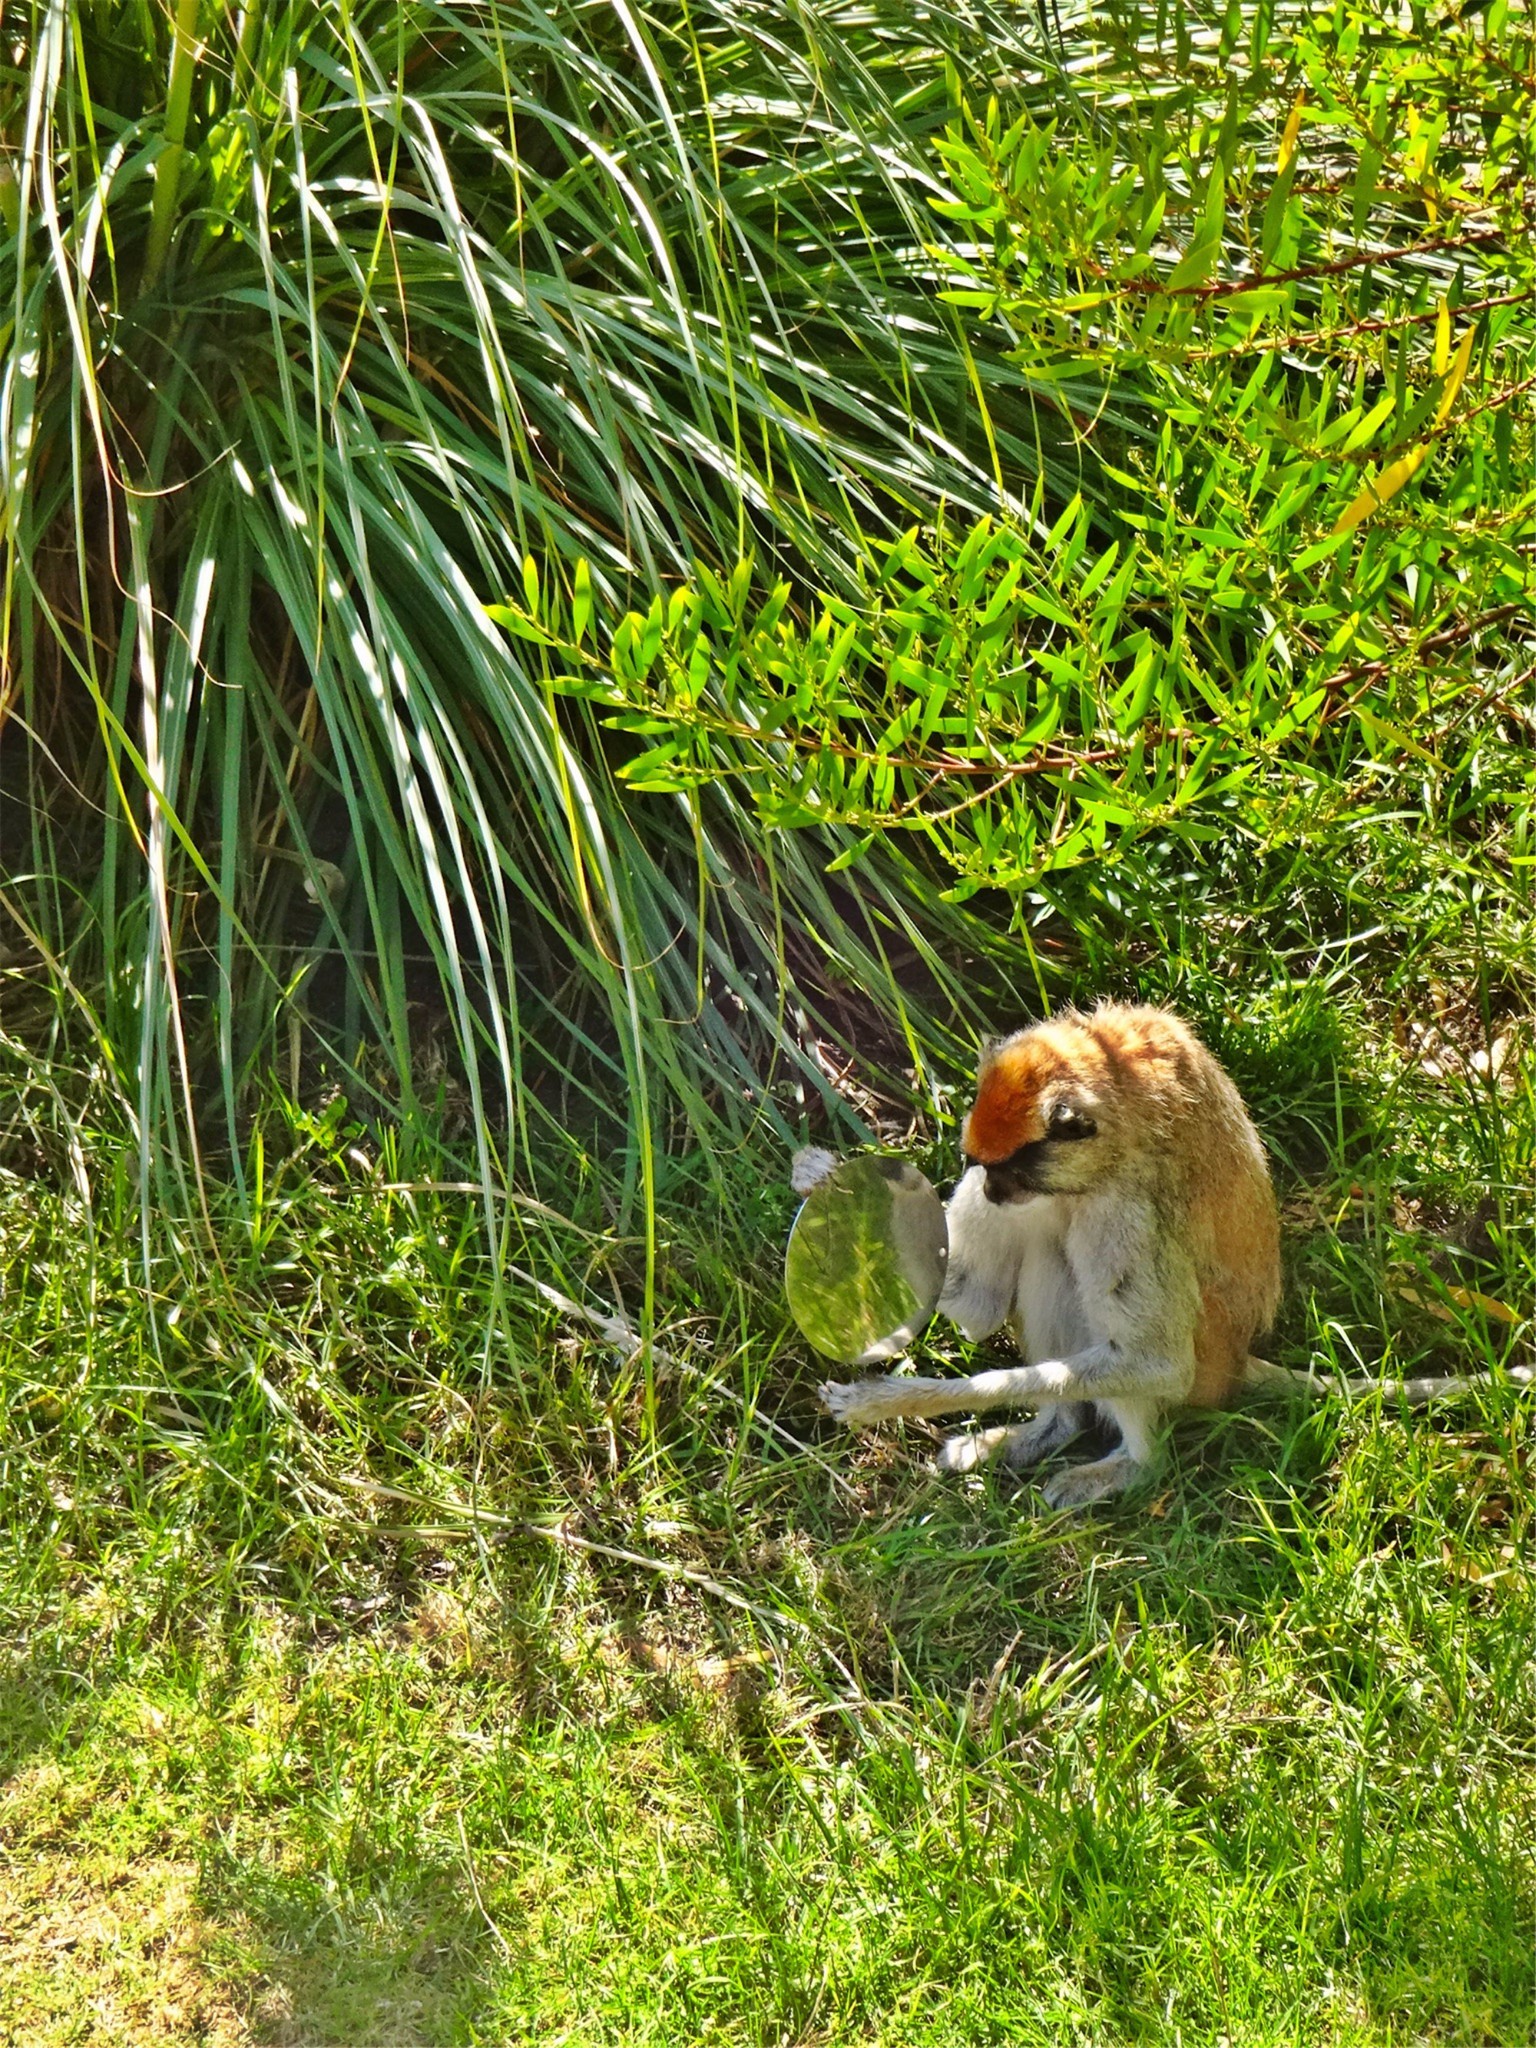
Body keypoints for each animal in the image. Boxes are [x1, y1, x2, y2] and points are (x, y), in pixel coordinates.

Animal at [823, 1003, 1523, 1507]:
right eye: (983, 1162)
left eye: (1015, 1165)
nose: (994, 1190)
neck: (1114, 1087)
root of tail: (1235, 1360)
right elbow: (980, 1305)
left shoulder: (1126, 1211)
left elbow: (1155, 1363)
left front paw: (888, 1400)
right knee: (1045, 1248)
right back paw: (1051, 1430)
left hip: (1202, 1361)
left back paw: (1134, 1466)